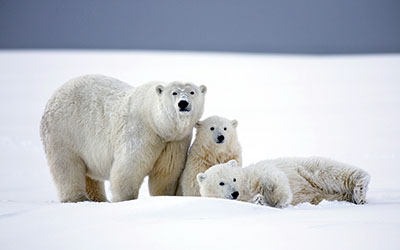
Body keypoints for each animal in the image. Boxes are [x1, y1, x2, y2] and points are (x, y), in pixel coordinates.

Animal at [41, 74, 206, 203]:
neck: (158, 124)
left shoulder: (174, 141)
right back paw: (77, 198)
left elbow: (166, 173)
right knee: (66, 166)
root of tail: (54, 95)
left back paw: (99, 199)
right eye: (174, 93)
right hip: (64, 131)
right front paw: (125, 200)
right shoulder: (141, 132)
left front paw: (164, 196)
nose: (183, 103)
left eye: (192, 92)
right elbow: (129, 168)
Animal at [198, 156, 370, 207]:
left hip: (308, 169)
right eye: (221, 183)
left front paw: (280, 200)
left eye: (234, 178)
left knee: (332, 171)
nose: (235, 193)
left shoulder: (255, 173)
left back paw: (360, 188)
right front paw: (259, 200)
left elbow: (273, 176)